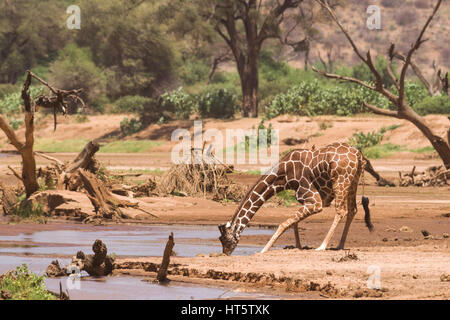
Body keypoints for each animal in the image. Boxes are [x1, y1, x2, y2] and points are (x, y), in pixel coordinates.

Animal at [219, 142, 372, 255]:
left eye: (225, 239)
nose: (226, 253)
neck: (284, 176)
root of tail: (359, 155)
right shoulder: (310, 200)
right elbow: (293, 222)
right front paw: (298, 246)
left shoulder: (315, 201)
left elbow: (284, 224)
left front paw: (263, 249)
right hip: (353, 182)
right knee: (353, 210)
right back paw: (340, 245)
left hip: (341, 181)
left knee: (341, 211)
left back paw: (322, 246)